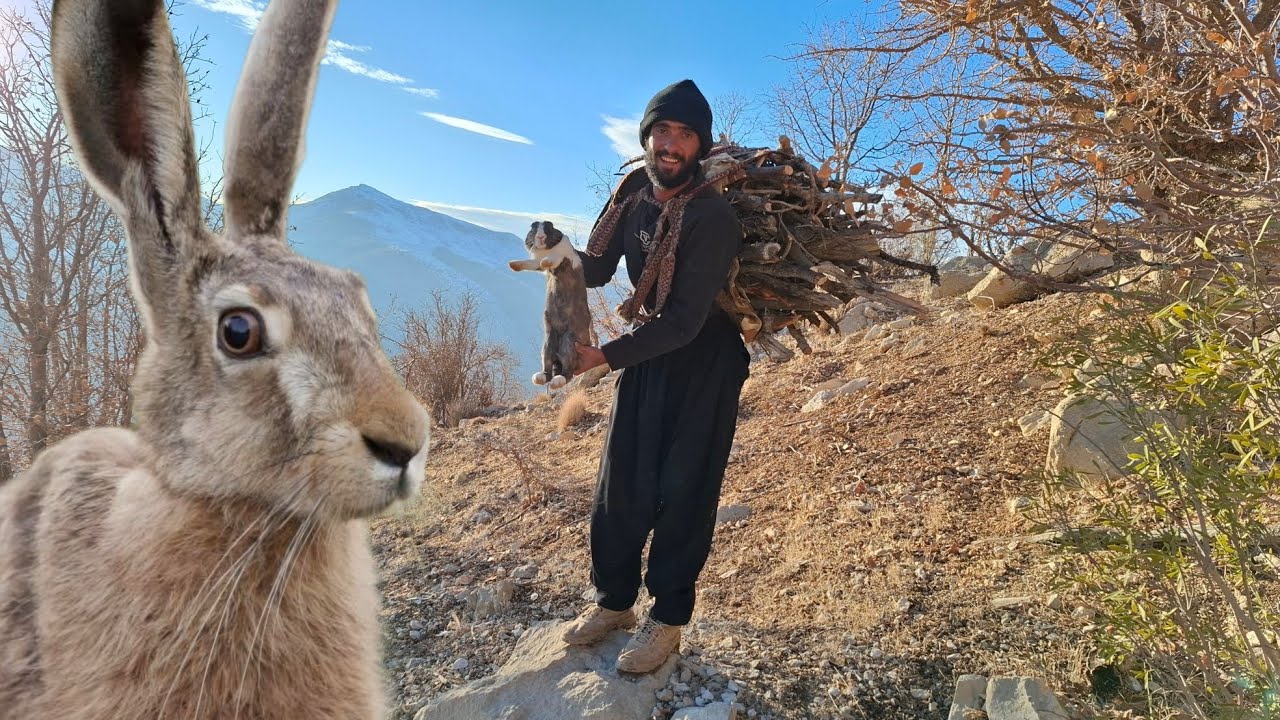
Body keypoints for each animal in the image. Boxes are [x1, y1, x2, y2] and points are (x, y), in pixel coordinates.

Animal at [508, 221, 593, 390]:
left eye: (549, 226)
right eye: (533, 227)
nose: (540, 237)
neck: (547, 250)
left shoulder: (566, 256)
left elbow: (553, 259)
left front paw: (545, 261)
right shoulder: (535, 264)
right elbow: (529, 263)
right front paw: (512, 265)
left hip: (569, 344)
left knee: (568, 371)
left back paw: (556, 381)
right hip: (548, 344)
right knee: (548, 368)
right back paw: (539, 378)